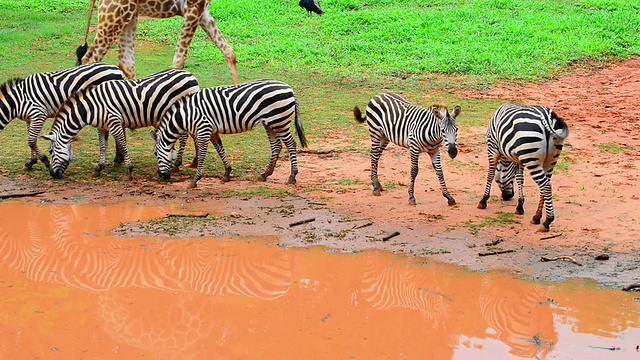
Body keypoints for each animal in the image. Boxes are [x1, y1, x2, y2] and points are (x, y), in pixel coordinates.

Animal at [43, 68, 198, 180]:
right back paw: (194, 162)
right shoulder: (101, 127)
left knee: (184, 138)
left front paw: (129, 170)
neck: (92, 106)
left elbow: (123, 145)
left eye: (50, 151)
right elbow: (103, 147)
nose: (52, 174)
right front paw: (98, 168)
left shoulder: (114, 122)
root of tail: (190, 75)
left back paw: (177, 164)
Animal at [77, 0, 238, 83]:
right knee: (90, 59)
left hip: (128, 14)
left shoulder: (202, 10)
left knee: (126, 62)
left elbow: (229, 52)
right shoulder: (193, 7)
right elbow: (178, 62)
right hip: (116, 14)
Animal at [152, 79, 308, 188]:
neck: (186, 115)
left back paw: (292, 176)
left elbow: (202, 155)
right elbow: (220, 149)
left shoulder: (203, 130)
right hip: (270, 123)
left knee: (291, 144)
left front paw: (195, 179)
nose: (161, 176)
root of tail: (290, 89)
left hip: (280, 121)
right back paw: (265, 174)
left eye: (155, 154)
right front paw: (227, 173)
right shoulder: (212, 131)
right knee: (276, 146)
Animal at [476, 102, 568, 231]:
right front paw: (520, 205)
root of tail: (545, 116)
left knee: (545, 186)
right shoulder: (519, 158)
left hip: (532, 158)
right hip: (550, 160)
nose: (508, 196)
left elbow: (490, 174)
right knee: (546, 185)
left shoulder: (492, 146)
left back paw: (547, 221)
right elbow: (520, 179)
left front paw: (483, 200)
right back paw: (537, 217)